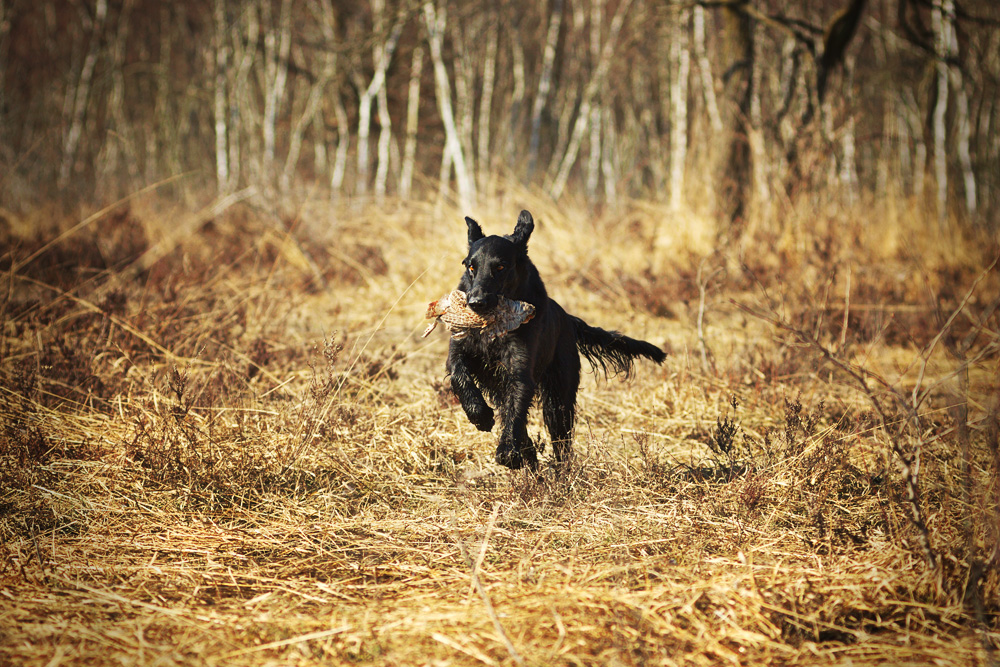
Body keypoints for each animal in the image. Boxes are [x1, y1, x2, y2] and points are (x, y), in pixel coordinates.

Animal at [446, 209, 664, 470]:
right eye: (470, 267)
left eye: (500, 267)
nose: (475, 303)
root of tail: (568, 319)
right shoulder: (460, 349)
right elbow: (459, 376)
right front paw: (480, 415)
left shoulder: (520, 369)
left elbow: (516, 408)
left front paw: (508, 451)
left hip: (558, 397)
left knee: (561, 440)